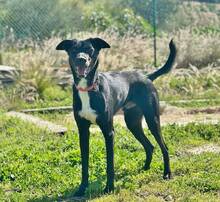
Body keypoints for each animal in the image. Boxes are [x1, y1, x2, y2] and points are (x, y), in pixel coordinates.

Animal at [55, 37, 176, 196]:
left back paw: (167, 173)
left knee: (164, 147)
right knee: (149, 146)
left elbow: (110, 164)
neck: (88, 88)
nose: (81, 59)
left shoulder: (109, 132)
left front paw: (109, 188)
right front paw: (82, 189)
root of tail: (146, 77)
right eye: (74, 50)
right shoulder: (83, 131)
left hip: (152, 120)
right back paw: (145, 168)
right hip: (132, 123)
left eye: (90, 50)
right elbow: (84, 164)